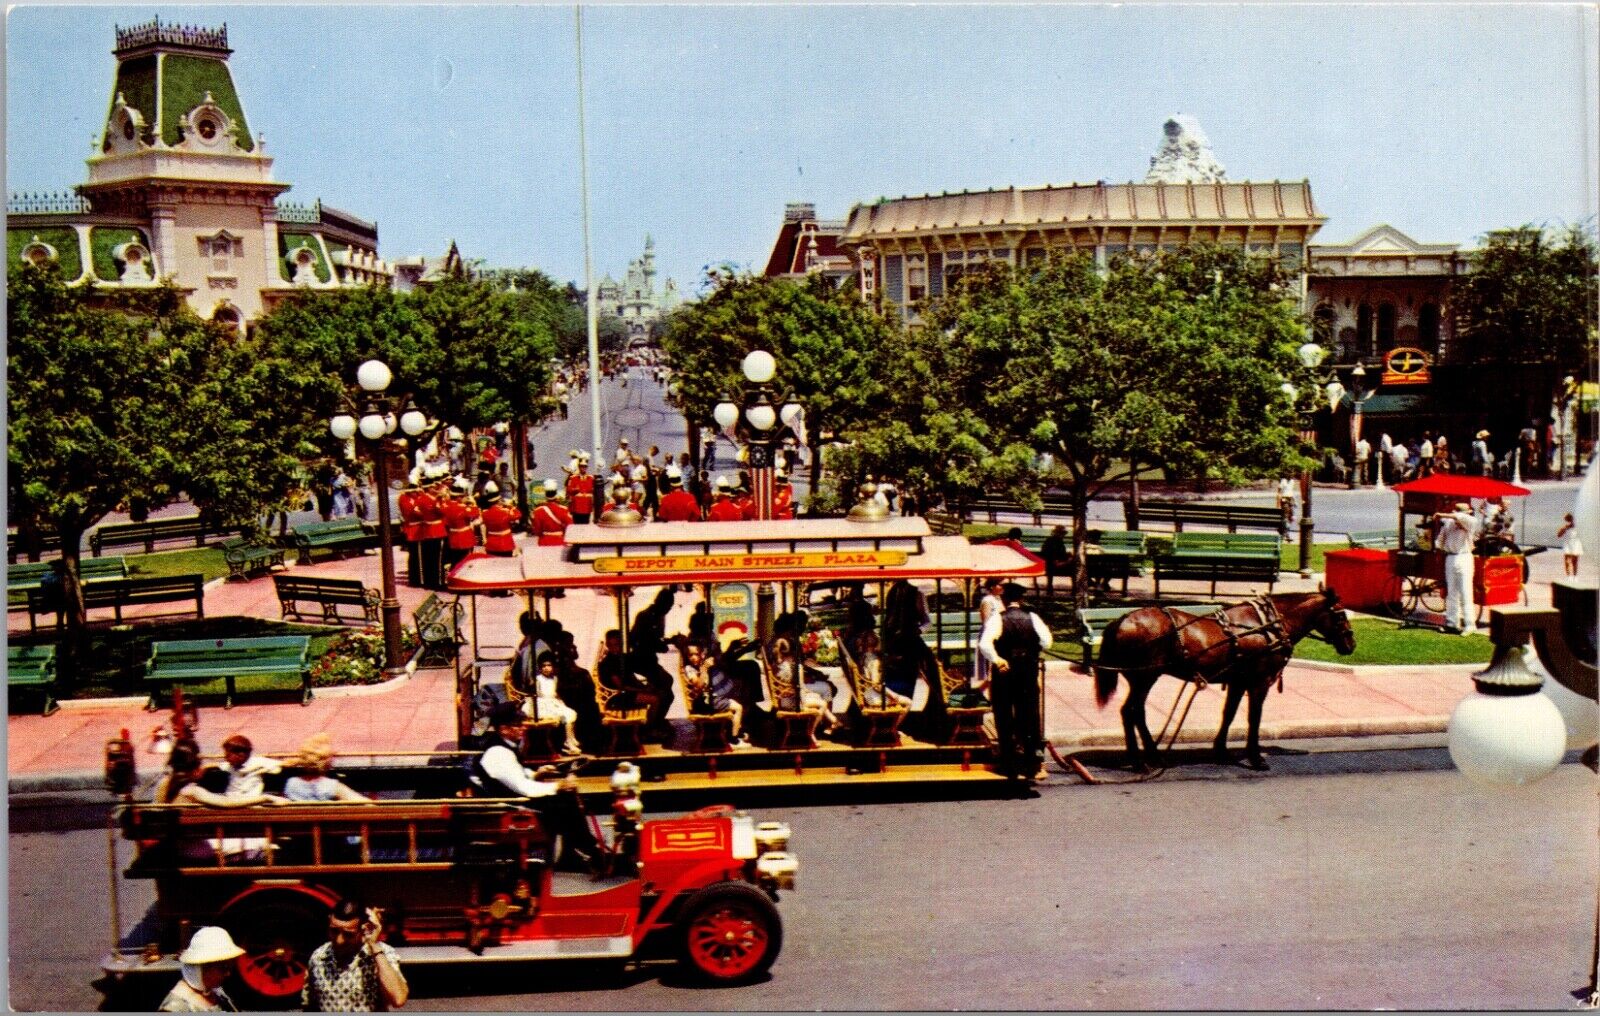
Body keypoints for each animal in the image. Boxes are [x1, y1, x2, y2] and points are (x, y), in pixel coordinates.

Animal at [1088, 588, 1350, 771]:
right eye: (1340, 615)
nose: (1351, 643)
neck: (1268, 625)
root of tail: (1121, 620)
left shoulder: (1238, 681)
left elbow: (1229, 714)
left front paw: (1221, 751)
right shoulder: (1259, 682)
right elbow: (1254, 718)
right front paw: (1255, 757)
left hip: (1142, 679)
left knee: (1135, 712)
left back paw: (1152, 755)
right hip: (1144, 677)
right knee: (1131, 712)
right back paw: (1139, 761)